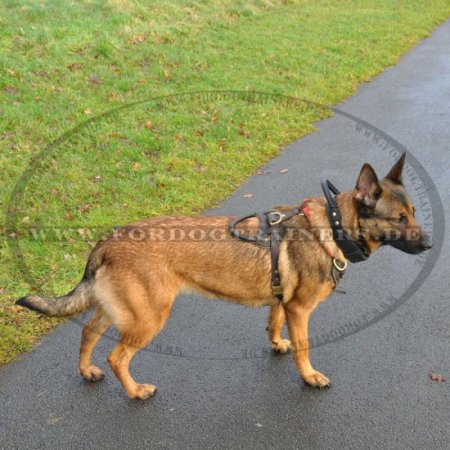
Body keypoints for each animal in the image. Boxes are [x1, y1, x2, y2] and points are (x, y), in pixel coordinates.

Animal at [16, 153, 432, 400]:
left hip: (120, 310)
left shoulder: (283, 303)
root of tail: (108, 239)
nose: (429, 244)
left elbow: (273, 324)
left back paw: (87, 371)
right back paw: (135, 391)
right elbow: (304, 348)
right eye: (399, 219)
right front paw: (309, 376)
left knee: (88, 333)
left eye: (413, 212)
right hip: (148, 318)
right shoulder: (300, 310)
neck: (332, 226)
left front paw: (276, 344)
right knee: (117, 356)